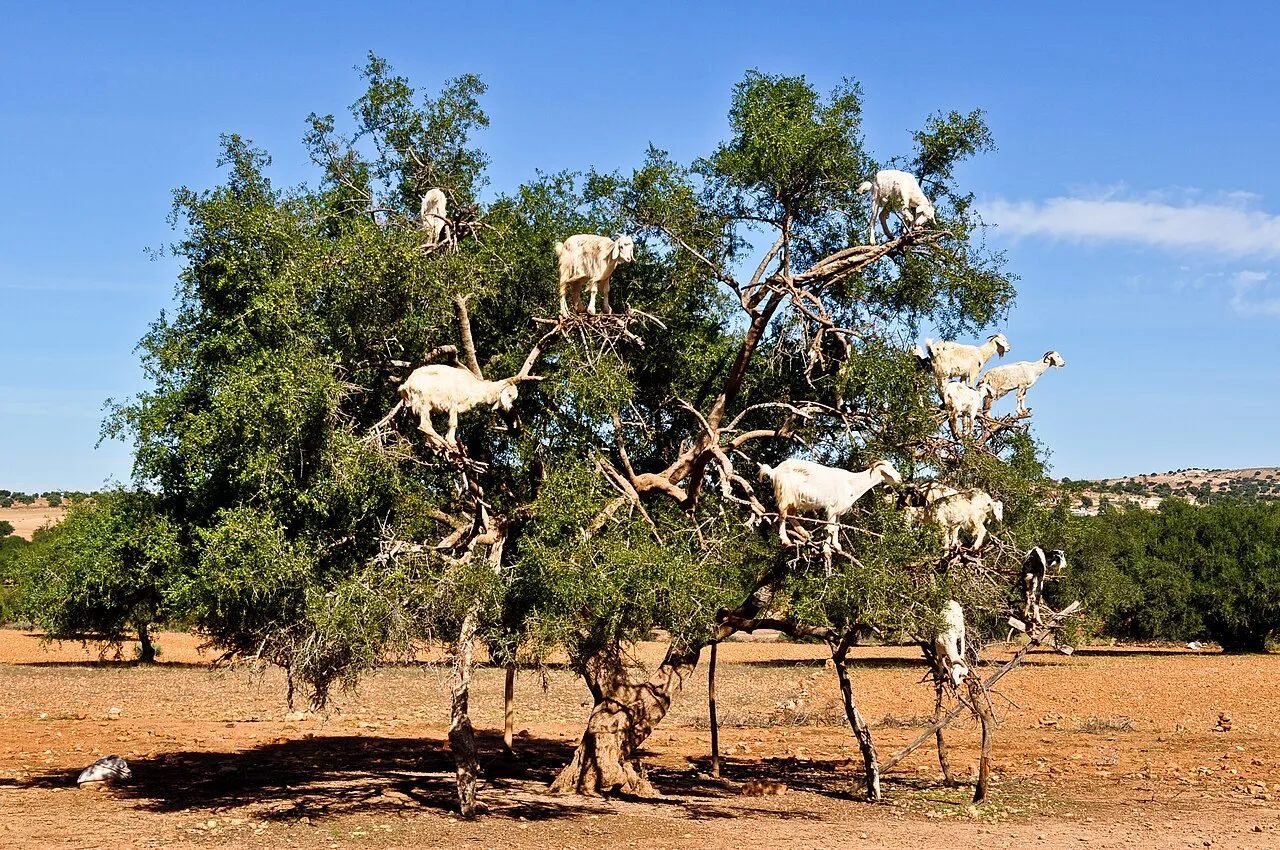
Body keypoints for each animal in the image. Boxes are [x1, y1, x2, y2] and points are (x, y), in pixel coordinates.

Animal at [398, 364, 536, 447]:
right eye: (509, 394)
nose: (508, 408)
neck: (473, 385)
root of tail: (406, 385)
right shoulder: (453, 404)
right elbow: (453, 423)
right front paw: (452, 441)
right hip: (424, 401)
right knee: (424, 425)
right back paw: (442, 443)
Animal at [758, 458, 902, 549]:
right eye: (890, 468)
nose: (900, 479)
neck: (852, 483)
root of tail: (774, 471)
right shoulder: (832, 509)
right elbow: (830, 528)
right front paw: (828, 547)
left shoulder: (838, 511)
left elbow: (836, 527)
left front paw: (837, 546)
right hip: (785, 494)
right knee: (782, 515)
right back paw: (785, 540)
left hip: (795, 500)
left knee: (791, 515)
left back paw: (804, 533)